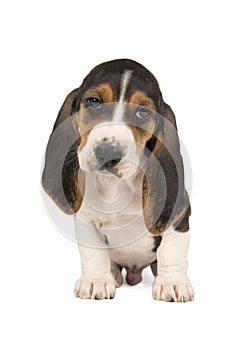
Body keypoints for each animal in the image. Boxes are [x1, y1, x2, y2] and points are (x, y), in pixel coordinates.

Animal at [41, 58, 193, 302]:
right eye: (94, 101)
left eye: (143, 112)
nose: (107, 153)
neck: (117, 186)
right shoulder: (86, 219)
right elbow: (93, 252)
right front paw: (96, 281)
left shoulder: (178, 216)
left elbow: (173, 251)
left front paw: (173, 284)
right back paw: (112, 274)